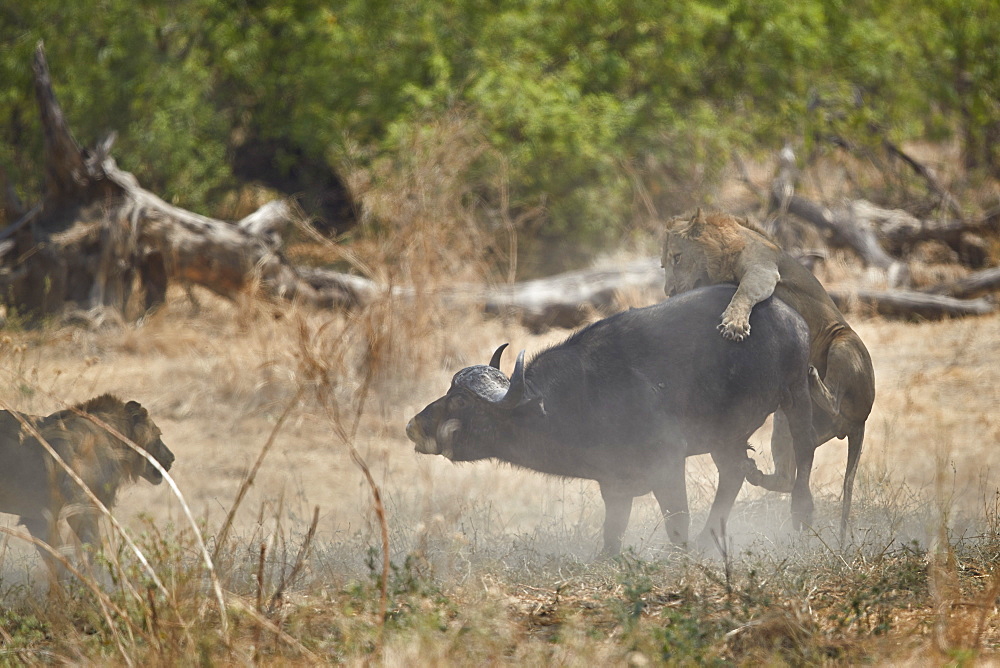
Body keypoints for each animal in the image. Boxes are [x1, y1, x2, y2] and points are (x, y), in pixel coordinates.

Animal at [0, 394, 176, 572]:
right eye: (159, 435)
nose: (172, 457)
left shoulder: (39, 516)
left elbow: (60, 558)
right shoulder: (78, 506)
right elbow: (87, 548)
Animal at [404, 284, 812, 556]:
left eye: (460, 400)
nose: (413, 426)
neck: (576, 398)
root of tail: (790, 317)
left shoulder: (667, 463)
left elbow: (676, 521)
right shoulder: (613, 485)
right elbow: (612, 531)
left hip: (797, 398)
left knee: (800, 462)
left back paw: (801, 519)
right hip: (726, 437)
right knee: (733, 474)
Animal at [664, 211, 876, 540]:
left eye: (677, 257)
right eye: (665, 264)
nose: (669, 292)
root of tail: (859, 422)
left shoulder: (762, 270)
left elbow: (745, 291)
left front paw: (734, 325)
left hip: (843, 341)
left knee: (836, 400)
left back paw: (813, 377)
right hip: (783, 424)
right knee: (789, 475)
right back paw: (755, 473)